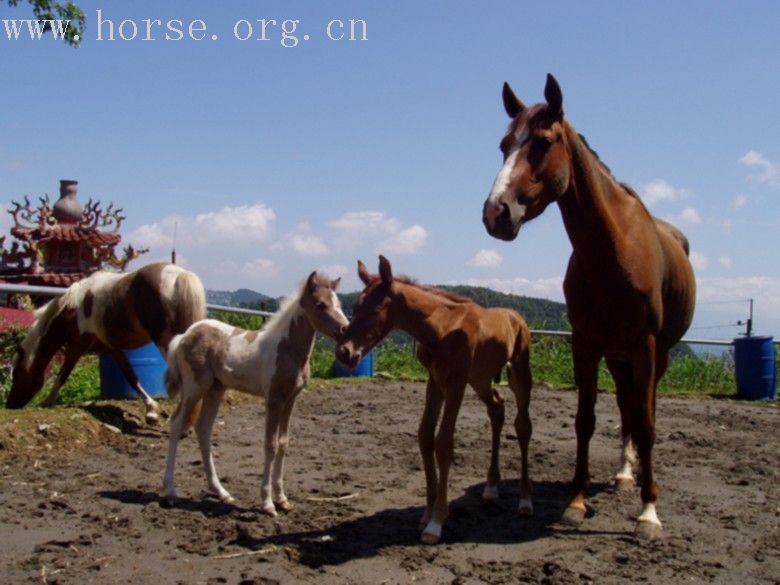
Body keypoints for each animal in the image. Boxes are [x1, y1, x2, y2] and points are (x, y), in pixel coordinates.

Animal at [6, 262, 206, 422]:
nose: (9, 404)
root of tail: (179, 274)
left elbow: (62, 375)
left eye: (16, 373)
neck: (71, 311)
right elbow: (131, 378)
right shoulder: (113, 350)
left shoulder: (76, 348)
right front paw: (150, 410)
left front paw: (47, 401)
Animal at [162, 272, 348, 512]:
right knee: (176, 423)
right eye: (320, 304)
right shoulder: (274, 399)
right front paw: (267, 503)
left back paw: (221, 492)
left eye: (339, 303)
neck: (287, 349)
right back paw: (170, 490)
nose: (346, 329)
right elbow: (270, 445)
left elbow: (283, 443)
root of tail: (184, 335)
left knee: (203, 429)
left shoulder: (291, 399)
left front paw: (282, 499)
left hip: (215, 388)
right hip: (194, 387)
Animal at [338, 256, 532, 544]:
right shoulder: (435, 380)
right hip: (480, 378)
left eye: (375, 309)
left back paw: (525, 500)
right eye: (354, 307)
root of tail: (516, 317)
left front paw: (437, 522)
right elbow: (425, 436)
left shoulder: (455, 383)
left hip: (518, 370)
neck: (442, 329)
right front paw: (427, 515)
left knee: (523, 425)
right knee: (497, 408)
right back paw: (491, 487)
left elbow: (443, 443)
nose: (345, 353)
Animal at [482, 74, 696, 540]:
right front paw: (576, 501)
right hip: (618, 357)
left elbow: (647, 425)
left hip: (657, 354)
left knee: (644, 410)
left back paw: (638, 480)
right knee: (626, 406)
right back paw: (623, 475)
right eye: (503, 145)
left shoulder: (645, 345)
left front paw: (649, 513)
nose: (495, 212)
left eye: (543, 142)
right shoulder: (585, 343)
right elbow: (586, 419)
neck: (612, 250)